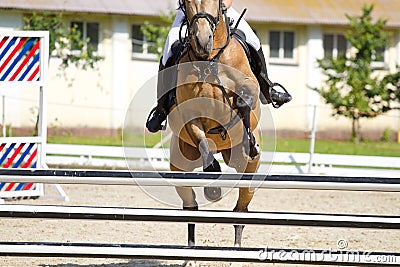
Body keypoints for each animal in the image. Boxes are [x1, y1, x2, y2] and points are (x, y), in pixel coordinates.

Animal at [169, 0, 262, 248]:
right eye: (187, 3)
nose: (203, 41)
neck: (210, 59)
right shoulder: (190, 115)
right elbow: (205, 148)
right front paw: (213, 186)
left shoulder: (251, 88)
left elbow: (245, 99)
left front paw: (250, 141)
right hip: (179, 167)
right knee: (190, 206)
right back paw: (192, 245)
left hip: (249, 171)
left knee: (241, 208)